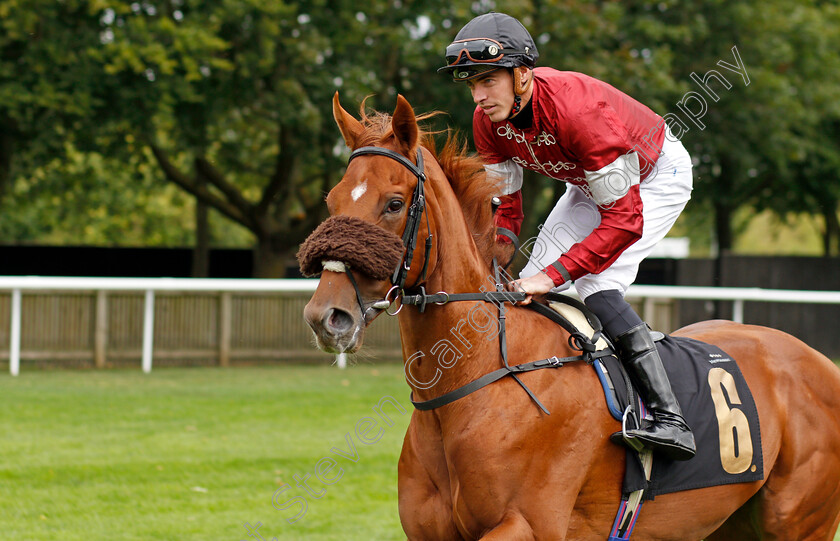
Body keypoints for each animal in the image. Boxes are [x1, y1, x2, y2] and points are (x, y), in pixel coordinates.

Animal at [302, 95, 840, 536]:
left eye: (394, 203)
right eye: (331, 200)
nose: (327, 316)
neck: (474, 380)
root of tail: (820, 362)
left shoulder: (526, 525)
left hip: (799, 521)